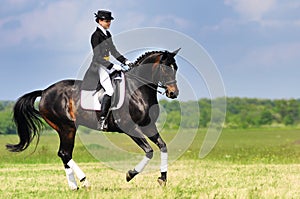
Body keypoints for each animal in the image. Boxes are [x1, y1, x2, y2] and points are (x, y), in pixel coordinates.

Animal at [6, 48, 180, 190]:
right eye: (165, 69)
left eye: (176, 69)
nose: (173, 93)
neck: (136, 90)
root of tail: (44, 92)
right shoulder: (129, 127)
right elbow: (149, 151)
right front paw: (130, 174)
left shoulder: (148, 126)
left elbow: (163, 146)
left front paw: (162, 179)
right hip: (67, 128)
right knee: (64, 153)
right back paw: (85, 182)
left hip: (65, 129)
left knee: (64, 154)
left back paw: (74, 186)